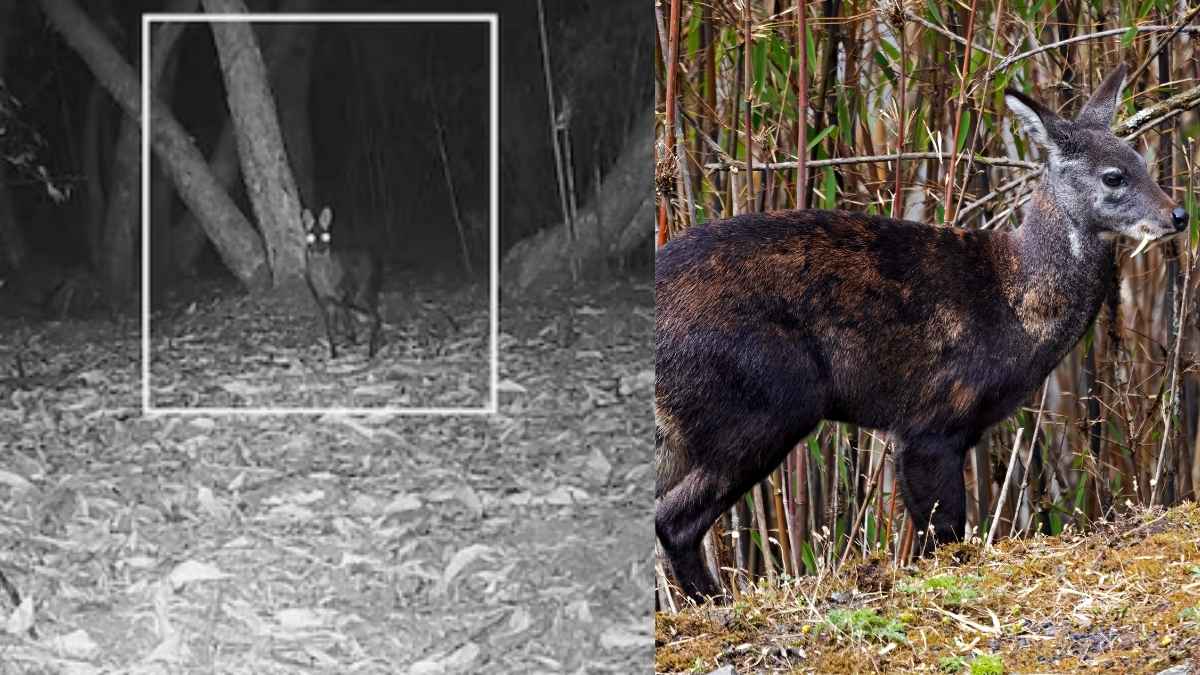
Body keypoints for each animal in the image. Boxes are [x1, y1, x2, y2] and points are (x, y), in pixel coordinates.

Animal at [655, 64, 1189, 603]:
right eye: (1113, 176)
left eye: (1142, 160)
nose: (1179, 215)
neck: (1013, 301)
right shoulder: (932, 417)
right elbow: (945, 533)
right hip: (768, 396)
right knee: (673, 520)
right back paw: (718, 601)